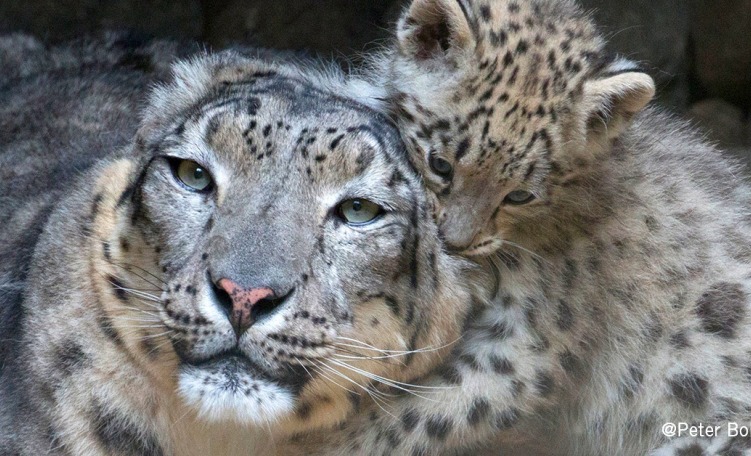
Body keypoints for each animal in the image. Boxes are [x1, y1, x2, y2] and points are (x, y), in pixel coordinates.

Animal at [284, 0, 751, 455]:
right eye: (440, 163)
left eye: (520, 195)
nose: (457, 242)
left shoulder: (531, 337)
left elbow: (420, 414)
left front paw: (330, 441)